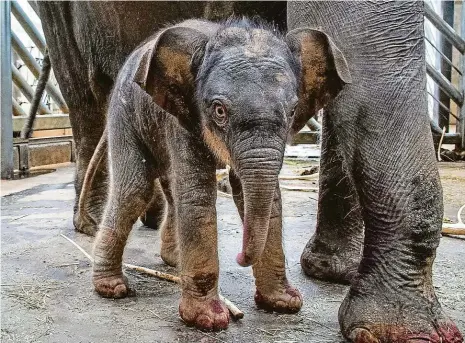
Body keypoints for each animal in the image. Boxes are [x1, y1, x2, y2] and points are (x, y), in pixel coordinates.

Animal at [83, 18, 350, 330]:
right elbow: (198, 196)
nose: (239, 257)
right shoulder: (182, 117)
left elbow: (262, 197)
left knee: (168, 189)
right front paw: (207, 319)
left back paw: (173, 261)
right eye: (219, 110)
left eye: (293, 110)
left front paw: (284, 303)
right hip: (125, 115)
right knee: (134, 190)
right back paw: (112, 288)